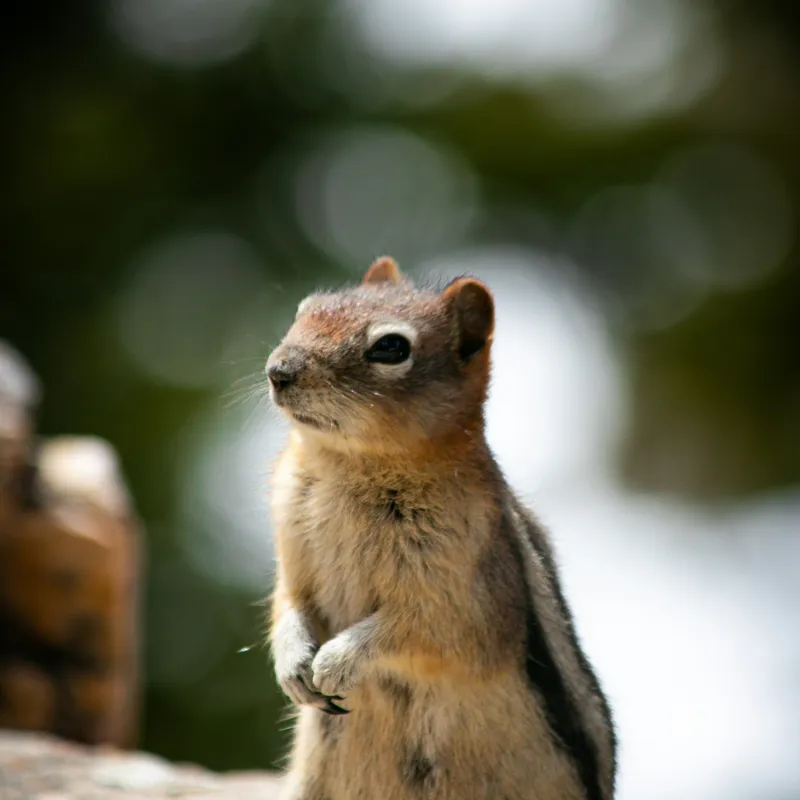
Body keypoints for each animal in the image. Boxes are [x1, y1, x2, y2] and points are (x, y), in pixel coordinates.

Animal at [266, 257, 616, 800]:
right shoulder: (291, 554)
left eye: (391, 347)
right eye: (305, 309)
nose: (278, 370)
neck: (348, 466)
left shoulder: (461, 593)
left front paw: (335, 661)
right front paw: (292, 660)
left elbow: (427, 633)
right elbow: (288, 605)